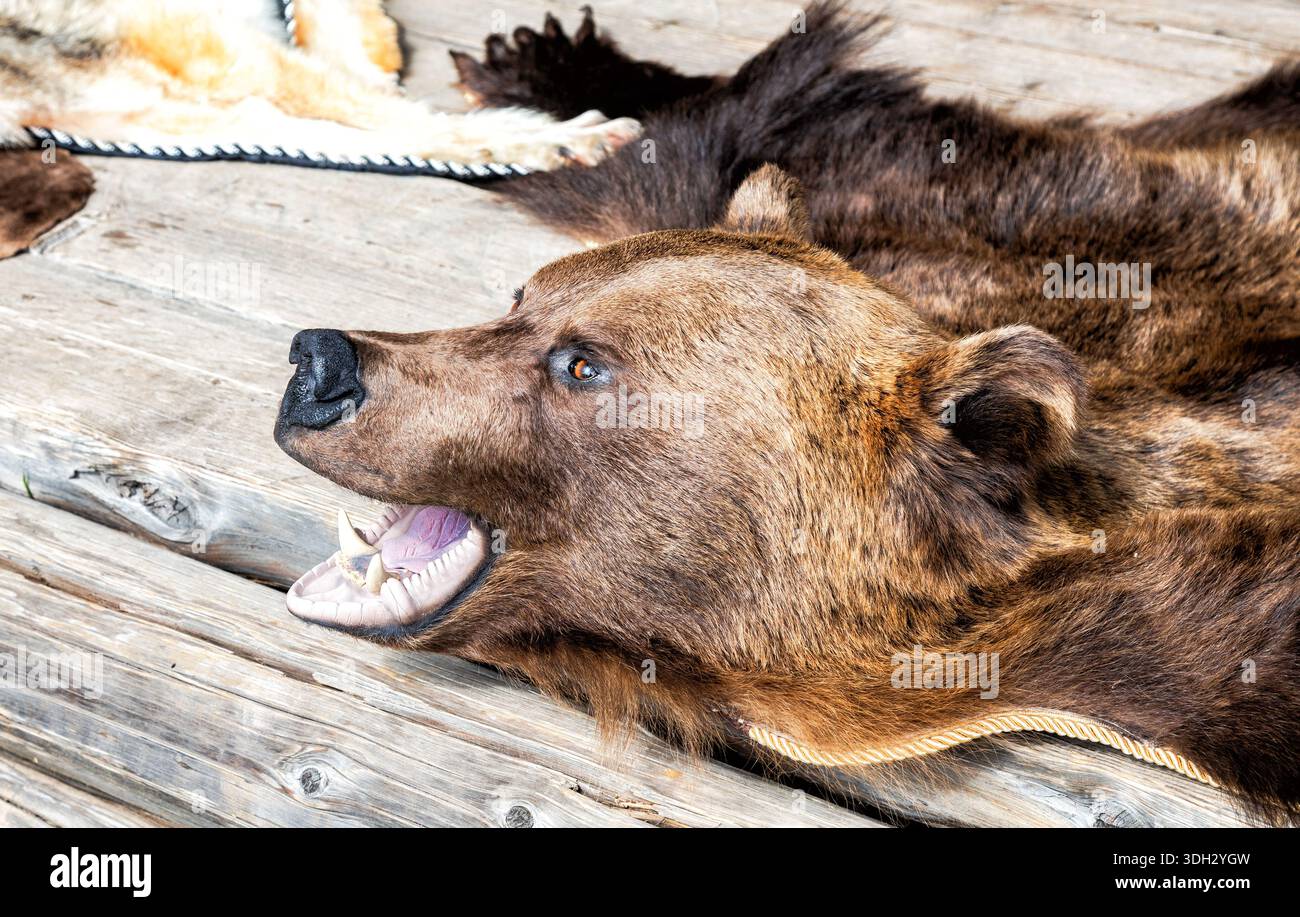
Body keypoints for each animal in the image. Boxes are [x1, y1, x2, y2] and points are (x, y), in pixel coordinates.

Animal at [276, 3, 1300, 818]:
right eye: (520, 296)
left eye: (581, 365)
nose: (319, 365)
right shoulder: (982, 228)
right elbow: (748, 133)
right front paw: (548, 63)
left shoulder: (1193, 636)